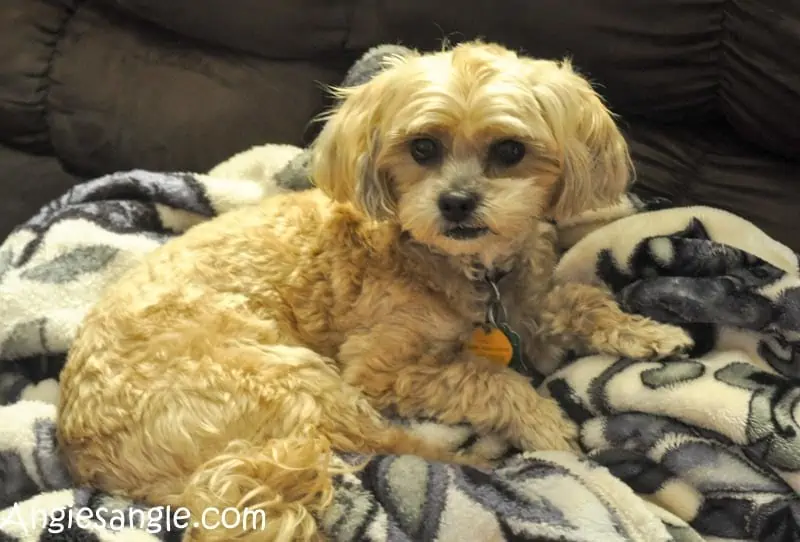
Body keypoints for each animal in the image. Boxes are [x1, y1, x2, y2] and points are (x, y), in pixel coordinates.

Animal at [57, 42, 692, 542]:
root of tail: (96, 464)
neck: (462, 268)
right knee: (385, 445)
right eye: (422, 148)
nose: (456, 203)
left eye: (509, 151)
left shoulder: (527, 306)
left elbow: (578, 302)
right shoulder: (382, 368)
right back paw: (485, 456)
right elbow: (491, 379)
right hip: (292, 377)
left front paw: (648, 332)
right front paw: (544, 425)